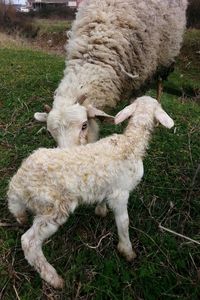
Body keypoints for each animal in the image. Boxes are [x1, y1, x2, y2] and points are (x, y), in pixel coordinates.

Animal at [7, 96, 173, 288]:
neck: (130, 144)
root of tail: (18, 184)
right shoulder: (120, 193)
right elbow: (124, 222)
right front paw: (127, 251)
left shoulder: (106, 186)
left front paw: (100, 210)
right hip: (52, 208)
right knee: (29, 242)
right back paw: (54, 278)